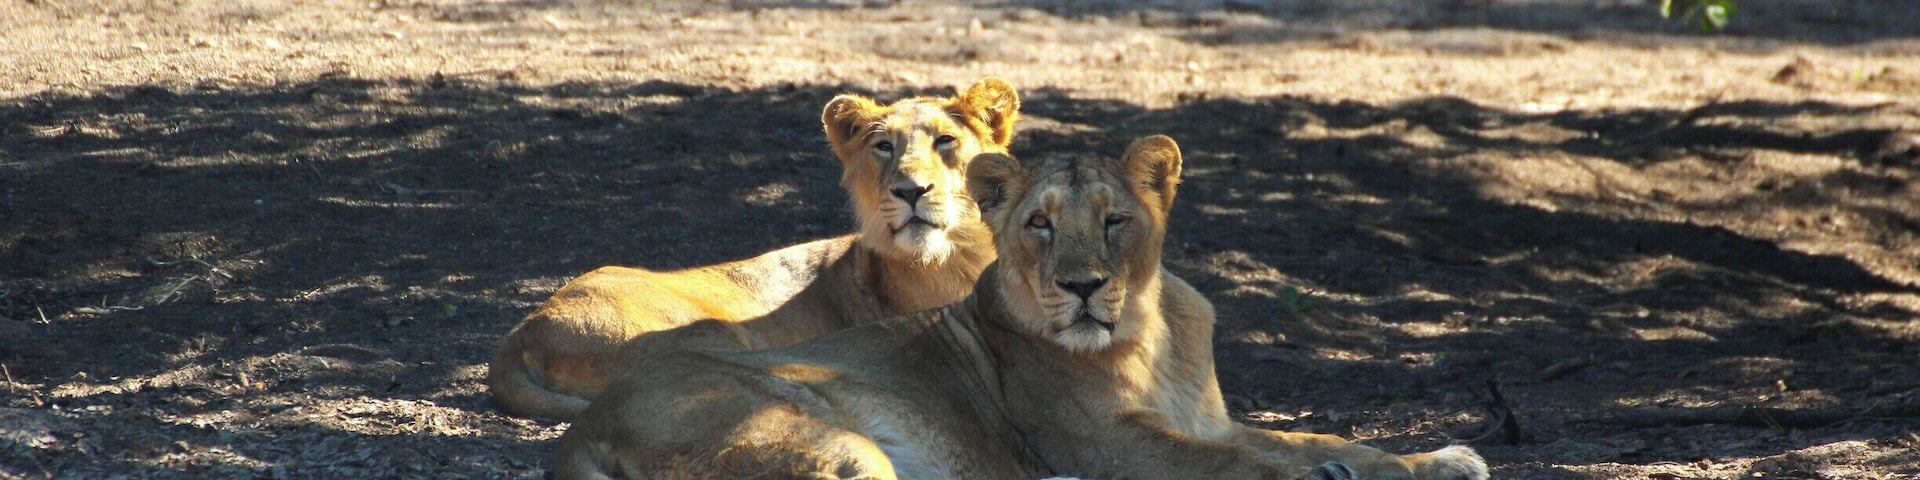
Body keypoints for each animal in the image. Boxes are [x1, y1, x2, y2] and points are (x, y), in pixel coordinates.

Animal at [488, 78, 1022, 421]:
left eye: (946, 141)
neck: (956, 256)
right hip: (710, 336)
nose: (910, 191)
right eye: (884, 147)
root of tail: (519, 334)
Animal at [551, 136, 1490, 480]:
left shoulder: (1209, 417)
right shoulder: (1110, 442)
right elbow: (1242, 464)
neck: (1153, 338)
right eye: (1039, 224)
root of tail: (581, 428)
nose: (1082, 285)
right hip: (824, 439)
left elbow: (1320, 439)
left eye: (1114, 221)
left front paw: (1439, 460)